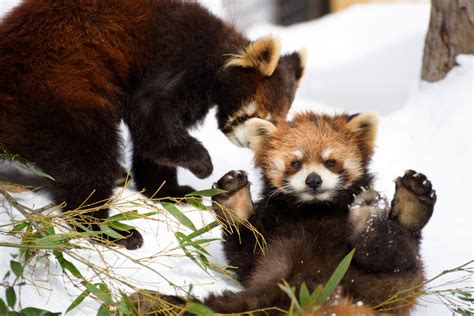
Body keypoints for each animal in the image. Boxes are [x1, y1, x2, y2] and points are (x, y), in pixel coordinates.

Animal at [0, 0, 304, 249]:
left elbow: (151, 146)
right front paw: (202, 165)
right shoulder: (176, 60)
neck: (220, 51)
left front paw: (167, 191)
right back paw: (107, 228)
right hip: (56, 95)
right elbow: (153, 122)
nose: (254, 143)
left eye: (279, 120)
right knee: (86, 160)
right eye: (264, 118)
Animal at [132, 111, 436, 314]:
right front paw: (235, 204)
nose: (313, 180)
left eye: (331, 162)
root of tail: (315, 294)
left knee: (397, 249)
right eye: (295, 163)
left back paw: (398, 205)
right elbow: (243, 252)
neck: (314, 210)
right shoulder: (269, 235)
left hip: (396, 281)